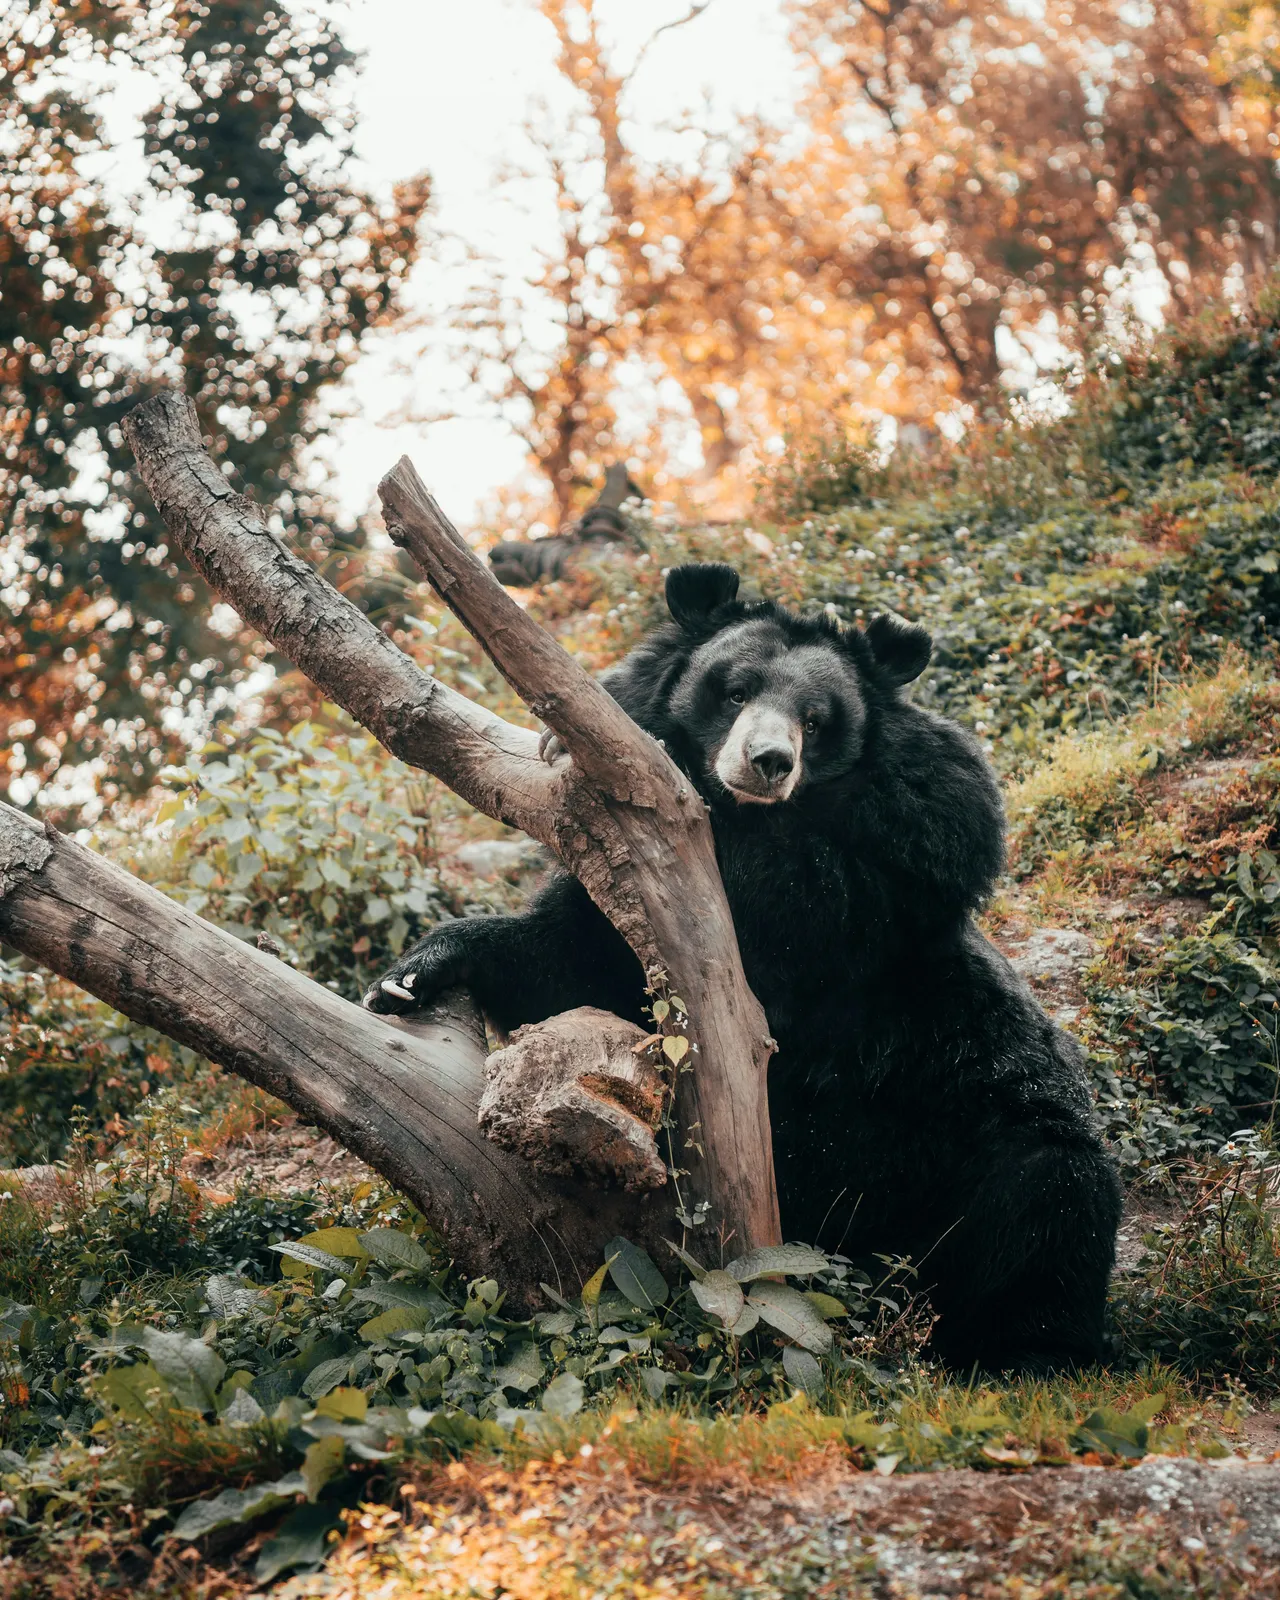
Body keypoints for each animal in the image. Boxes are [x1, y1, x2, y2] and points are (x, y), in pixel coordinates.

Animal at [366, 562, 1122, 1374]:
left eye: (816, 720)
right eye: (733, 690)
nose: (768, 762)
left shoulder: (896, 868)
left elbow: (803, 896)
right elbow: (573, 957)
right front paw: (405, 980)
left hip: (976, 1110)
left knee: (1046, 1203)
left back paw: (1023, 1351)